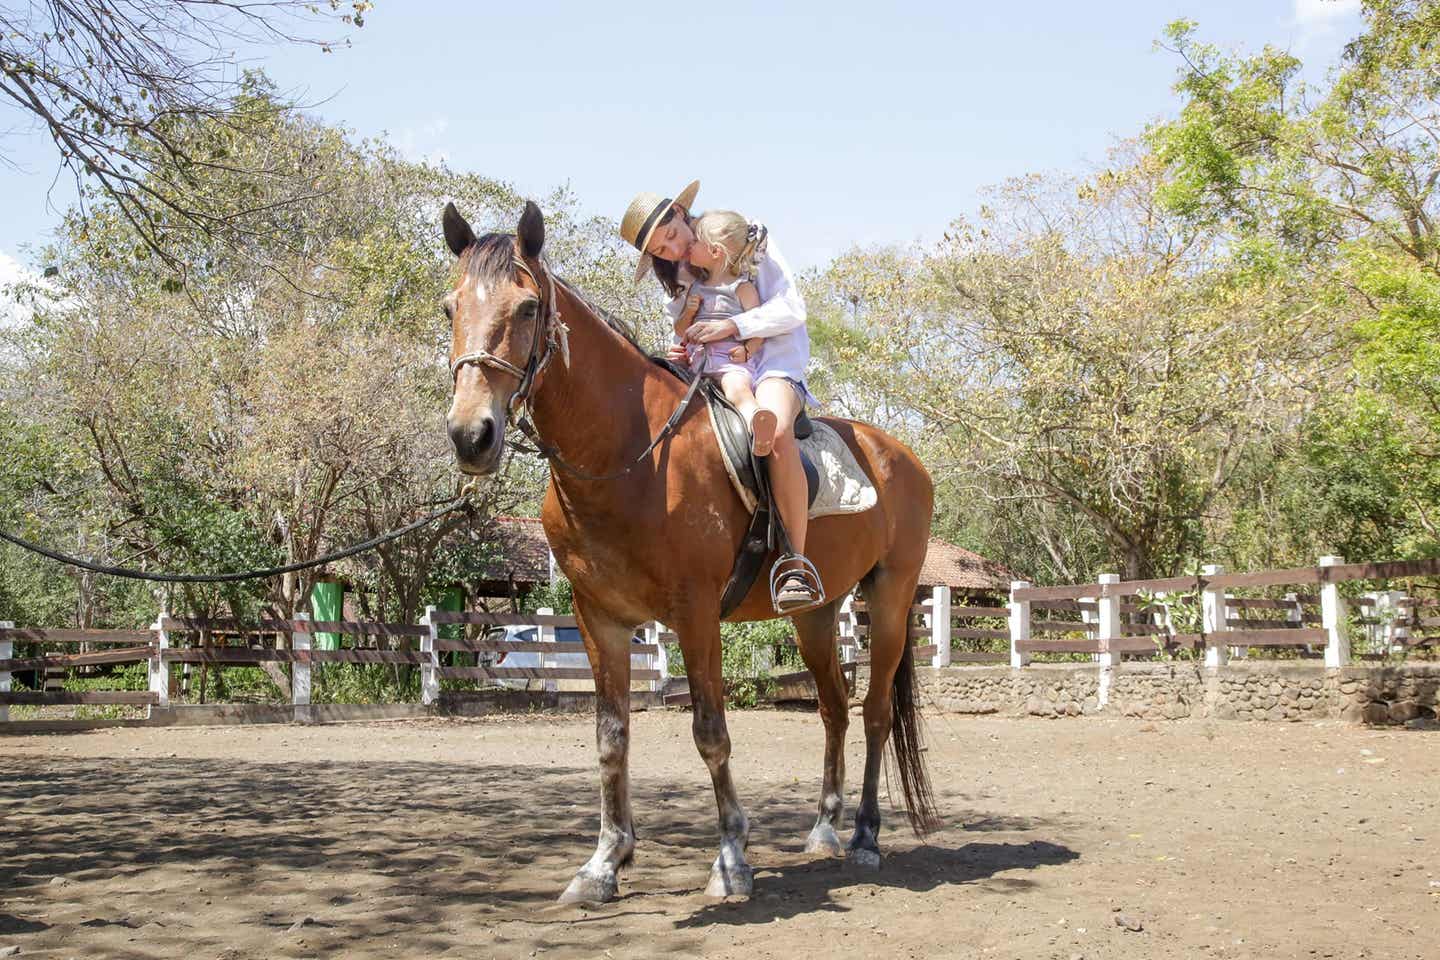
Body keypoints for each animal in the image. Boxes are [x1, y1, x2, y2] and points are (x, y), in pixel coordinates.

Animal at [443, 201, 938, 903]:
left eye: (528, 308)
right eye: (449, 307)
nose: (471, 436)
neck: (630, 455)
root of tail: (898, 455)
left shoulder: (697, 613)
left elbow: (710, 732)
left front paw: (731, 857)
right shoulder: (599, 619)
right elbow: (611, 737)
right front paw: (604, 862)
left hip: (891, 599)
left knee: (872, 714)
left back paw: (866, 836)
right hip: (818, 613)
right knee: (834, 709)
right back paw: (824, 829)